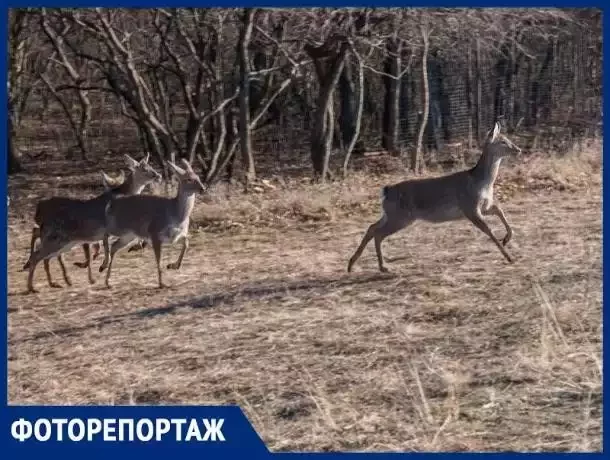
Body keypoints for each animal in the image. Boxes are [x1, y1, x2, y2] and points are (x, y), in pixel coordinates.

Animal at [25, 153, 160, 292]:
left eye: (150, 166)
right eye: (143, 169)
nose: (157, 175)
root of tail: (39, 210)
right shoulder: (107, 228)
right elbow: (105, 246)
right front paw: (102, 266)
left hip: (65, 242)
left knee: (43, 253)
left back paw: (54, 282)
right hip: (57, 239)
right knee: (37, 254)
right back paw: (32, 286)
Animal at [98, 158, 205, 288]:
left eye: (198, 177)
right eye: (188, 179)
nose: (203, 188)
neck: (175, 214)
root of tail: (112, 203)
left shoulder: (178, 235)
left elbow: (186, 243)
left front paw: (173, 265)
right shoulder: (154, 232)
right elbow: (158, 259)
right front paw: (162, 283)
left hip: (129, 234)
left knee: (114, 246)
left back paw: (107, 280)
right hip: (118, 226)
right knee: (105, 234)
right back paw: (103, 265)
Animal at [344, 120, 520, 274]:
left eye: (507, 139)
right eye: (502, 141)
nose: (518, 149)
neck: (481, 182)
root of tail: (386, 191)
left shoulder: (484, 206)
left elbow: (499, 210)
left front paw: (507, 238)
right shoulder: (469, 207)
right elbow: (489, 230)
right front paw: (509, 257)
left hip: (390, 214)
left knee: (372, 227)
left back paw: (351, 265)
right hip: (401, 217)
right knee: (378, 233)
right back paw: (383, 267)